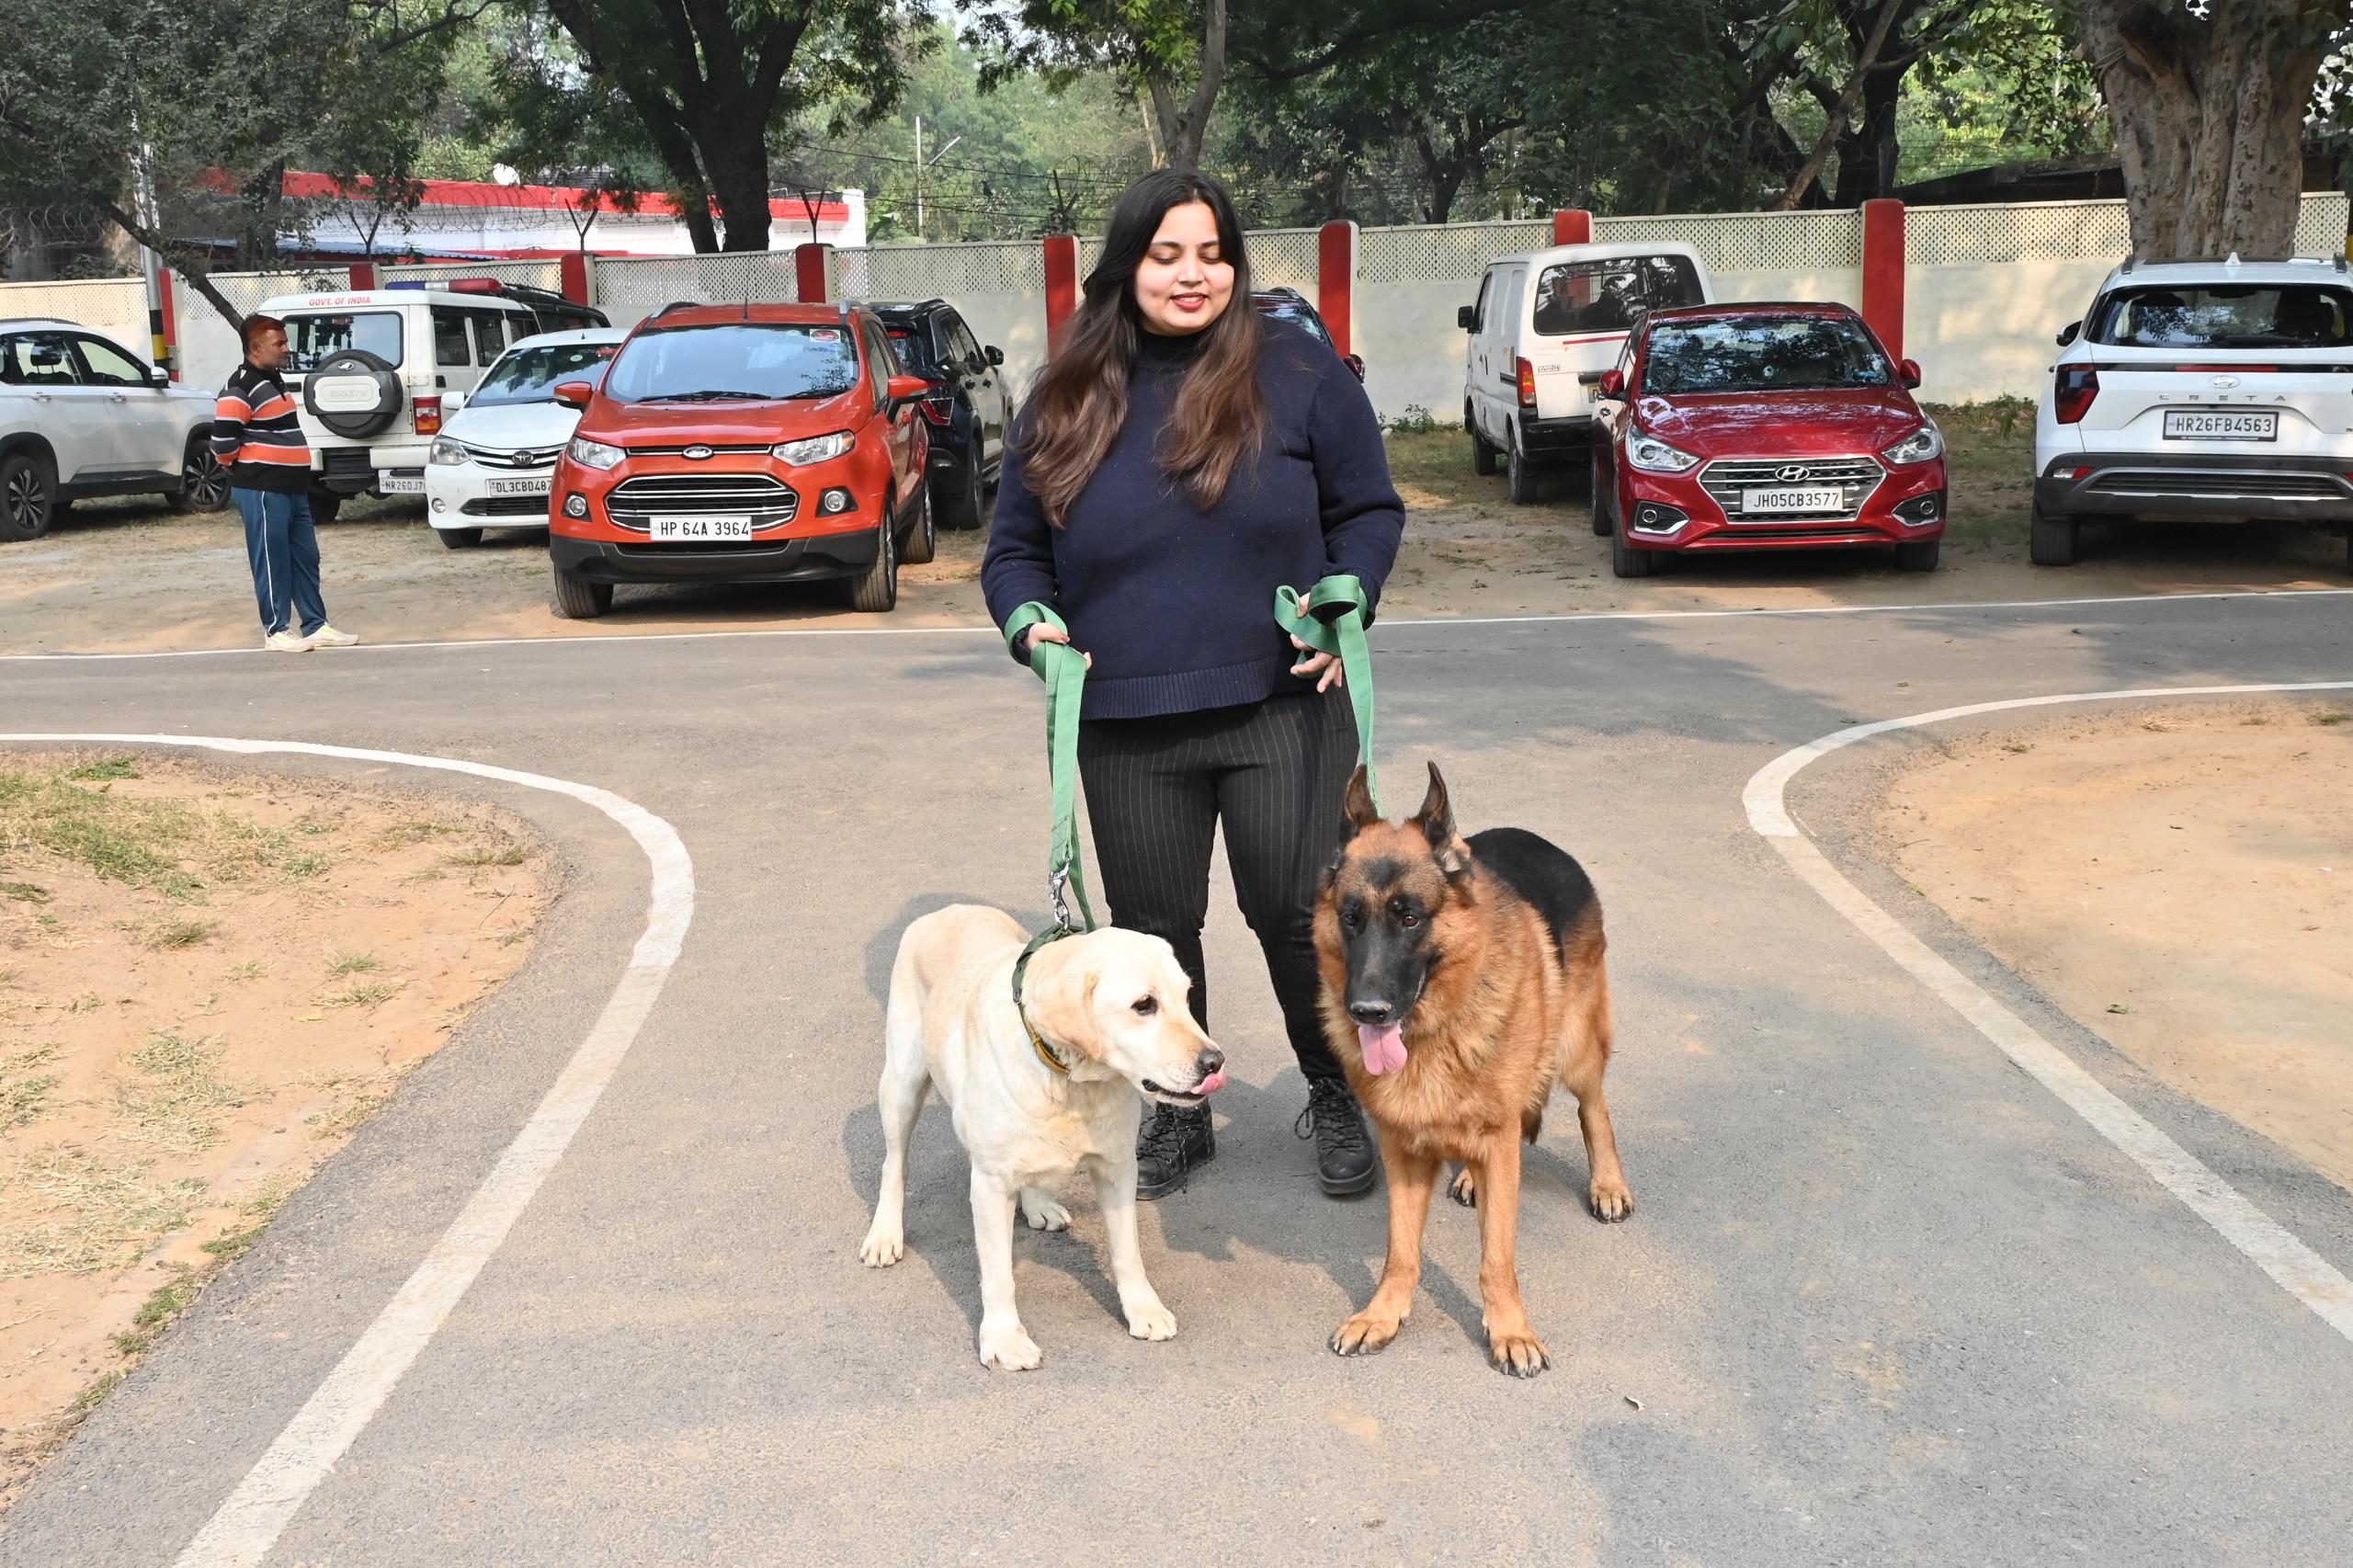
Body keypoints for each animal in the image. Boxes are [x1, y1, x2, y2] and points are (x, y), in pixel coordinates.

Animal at [866, 903, 1233, 1365]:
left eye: (1187, 998)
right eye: (1143, 1005)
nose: (1215, 1062)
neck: (1070, 1082)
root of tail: (951, 907)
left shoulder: (1118, 1168)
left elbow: (1128, 1252)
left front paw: (1143, 1310)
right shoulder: (990, 1185)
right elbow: (998, 1274)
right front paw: (1004, 1339)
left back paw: (1039, 1205)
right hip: (902, 1082)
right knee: (894, 1164)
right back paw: (884, 1234)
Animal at [1317, 762, 1628, 1374]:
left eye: (1410, 918)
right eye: (1351, 919)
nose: (1366, 1011)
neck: (1435, 1029)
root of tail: (1543, 842)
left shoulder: (1497, 1142)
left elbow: (1497, 1257)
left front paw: (1510, 1330)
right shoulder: (1403, 1150)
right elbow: (1400, 1251)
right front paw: (1382, 1315)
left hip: (1574, 1045)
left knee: (1594, 1108)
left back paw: (1608, 1182)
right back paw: (1467, 1178)